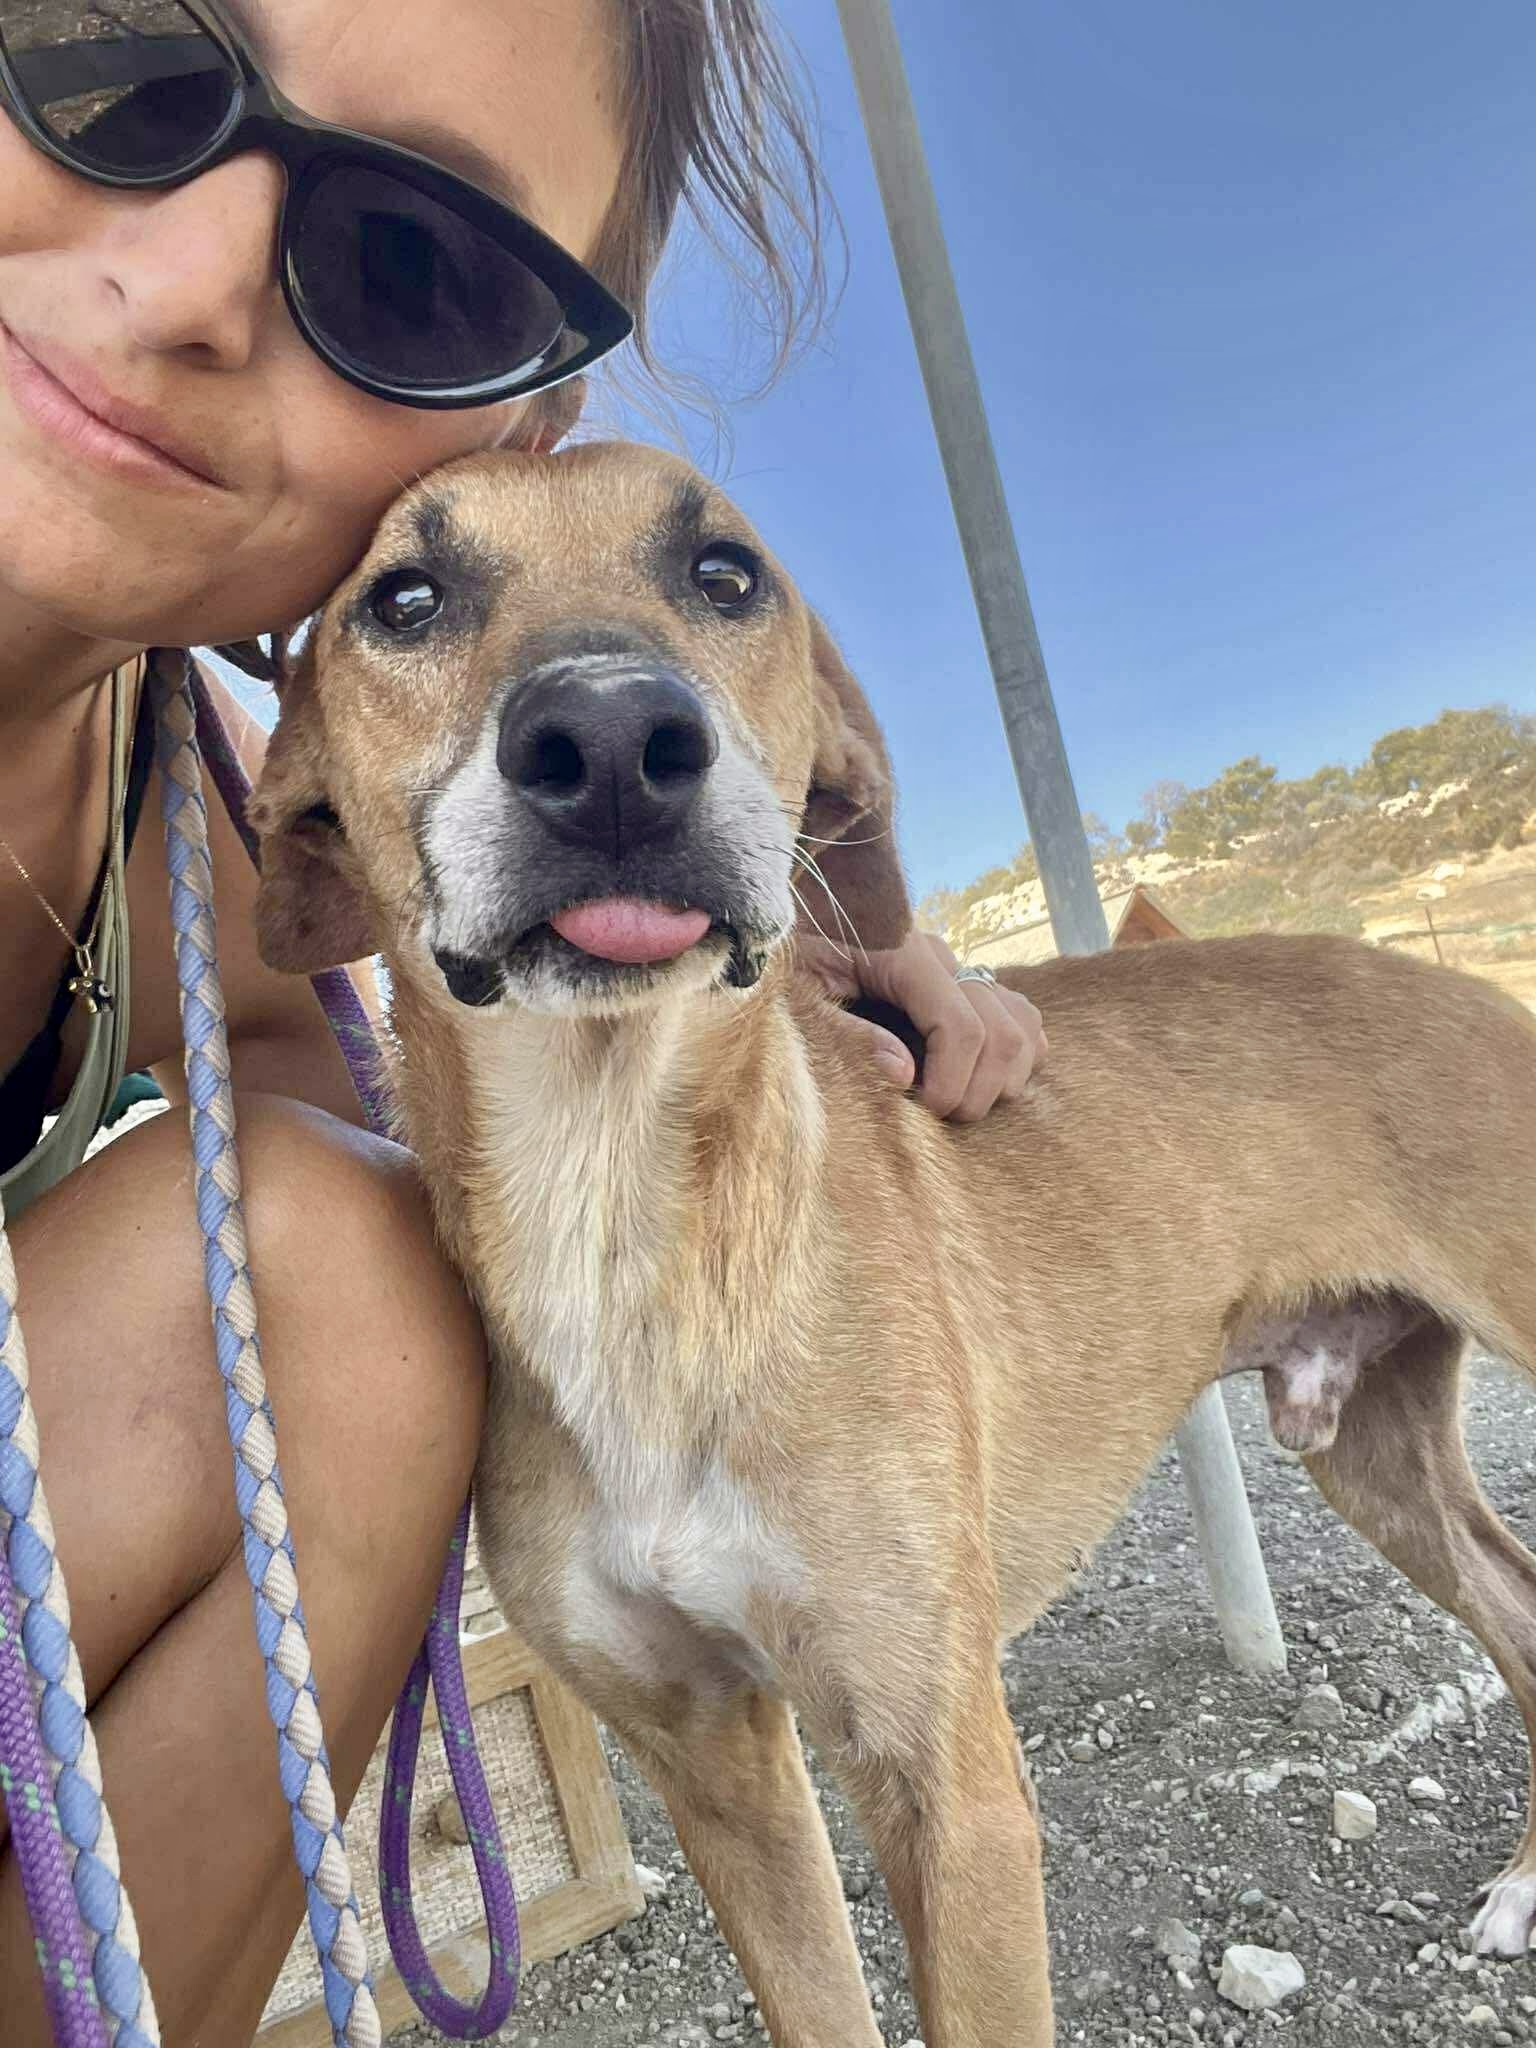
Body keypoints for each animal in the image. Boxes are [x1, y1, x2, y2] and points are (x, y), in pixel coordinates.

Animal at [250, 442, 1536, 2047]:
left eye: (725, 573)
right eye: (405, 599)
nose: (610, 740)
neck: (619, 1211)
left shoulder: (946, 1775)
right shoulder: (718, 1768)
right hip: (1368, 1450)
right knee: (1521, 1605)